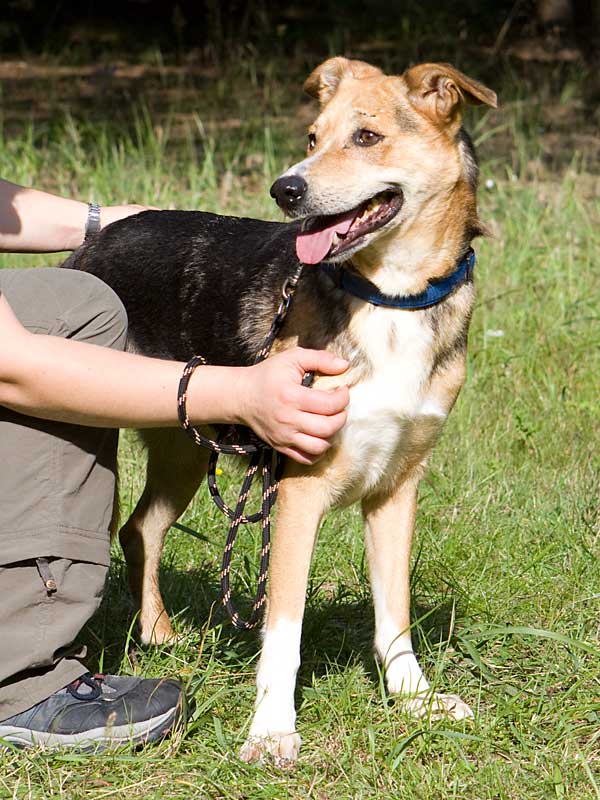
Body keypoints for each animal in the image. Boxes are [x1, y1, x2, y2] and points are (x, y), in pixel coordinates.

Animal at [64, 57, 497, 763]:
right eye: (312, 137)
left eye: (367, 137)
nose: (285, 190)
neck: (389, 298)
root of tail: (89, 248)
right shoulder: (298, 492)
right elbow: (284, 633)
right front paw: (271, 730)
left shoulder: (397, 487)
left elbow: (395, 614)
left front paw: (414, 700)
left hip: (188, 443)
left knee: (141, 529)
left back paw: (161, 638)